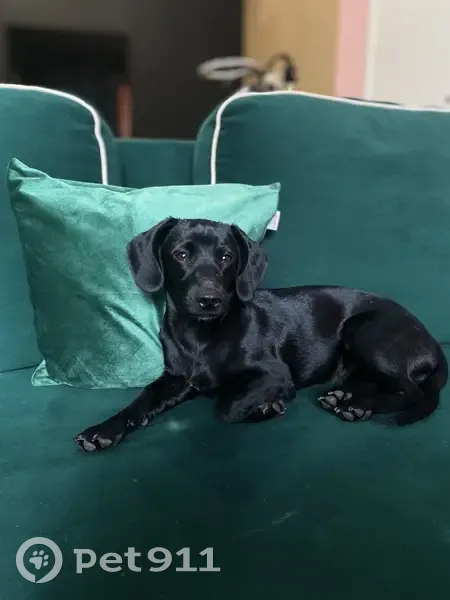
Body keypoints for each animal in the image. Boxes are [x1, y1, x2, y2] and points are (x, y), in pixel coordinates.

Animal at [75, 218, 448, 452]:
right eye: (180, 254)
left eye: (226, 257)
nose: (209, 299)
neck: (200, 336)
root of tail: (432, 341)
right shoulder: (176, 379)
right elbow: (143, 399)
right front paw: (103, 430)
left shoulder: (274, 375)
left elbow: (225, 406)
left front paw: (267, 408)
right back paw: (346, 399)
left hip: (367, 334)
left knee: (412, 392)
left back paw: (357, 406)